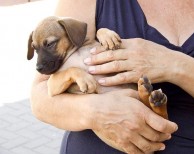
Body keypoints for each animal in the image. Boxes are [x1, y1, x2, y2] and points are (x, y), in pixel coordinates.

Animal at [27, 15, 168, 153]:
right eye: (34, 48)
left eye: (50, 44)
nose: (38, 68)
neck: (74, 53)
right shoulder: (52, 84)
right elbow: (71, 69)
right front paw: (85, 79)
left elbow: (99, 31)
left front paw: (108, 36)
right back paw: (150, 94)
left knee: (162, 115)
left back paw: (151, 95)